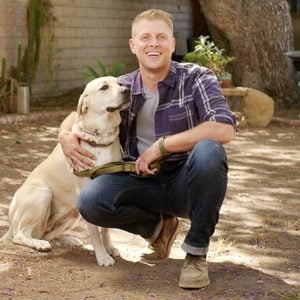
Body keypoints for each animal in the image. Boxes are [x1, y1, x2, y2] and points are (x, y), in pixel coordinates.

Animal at [0, 77, 130, 268]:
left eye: (120, 84)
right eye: (104, 87)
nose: (128, 90)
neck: (99, 138)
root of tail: (9, 225)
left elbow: (105, 229)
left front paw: (109, 248)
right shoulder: (87, 195)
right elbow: (94, 231)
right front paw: (102, 256)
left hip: (72, 212)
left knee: (45, 233)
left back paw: (68, 239)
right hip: (43, 194)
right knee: (21, 235)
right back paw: (39, 244)